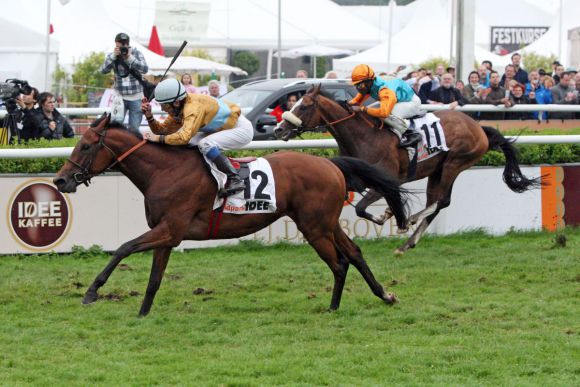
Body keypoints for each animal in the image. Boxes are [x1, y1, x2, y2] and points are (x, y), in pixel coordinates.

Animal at [52, 113, 410, 316]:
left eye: (85, 146)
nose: (60, 180)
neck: (164, 171)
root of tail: (331, 163)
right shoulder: (166, 235)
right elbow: (154, 280)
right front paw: (142, 314)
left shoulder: (170, 229)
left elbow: (123, 248)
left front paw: (92, 291)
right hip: (326, 223)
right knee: (355, 254)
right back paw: (384, 295)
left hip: (314, 227)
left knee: (339, 263)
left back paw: (333, 307)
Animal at [274, 84, 540, 255]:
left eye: (304, 107)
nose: (278, 129)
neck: (364, 136)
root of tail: (478, 126)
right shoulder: (352, 178)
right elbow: (357, 206)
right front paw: (387, 215)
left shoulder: (388, 180)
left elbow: (361, 208)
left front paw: (390, 216)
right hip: (438, 170)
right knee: (439, 202)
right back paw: (407, 244)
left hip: (455, 163)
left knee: (439, 201)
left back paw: (411, 221)